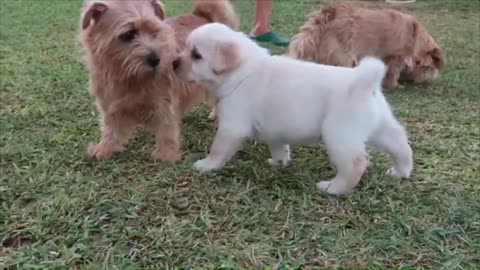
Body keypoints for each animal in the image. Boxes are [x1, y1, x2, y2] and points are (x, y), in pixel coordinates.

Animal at [78, 0, 240, 160]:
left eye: (154, 33)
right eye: (129, 34)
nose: (157, 59)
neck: (130, 76)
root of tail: (205, 18)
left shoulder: (164, 102)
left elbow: (166, 130)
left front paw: (166, 156)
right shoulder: (110, 103)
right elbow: (110, 127)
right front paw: (105, 148)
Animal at [174, 22, 414, 194]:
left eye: (196, 55)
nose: (174, 63)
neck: (241, 70)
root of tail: (365, 81)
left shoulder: (232, 126)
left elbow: (218, 148)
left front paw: (207, 165)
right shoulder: (275, 130)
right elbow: (279, 147)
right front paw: (279, 163)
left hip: (339, 135)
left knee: (355, 164)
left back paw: (332, 188)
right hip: (380, 129)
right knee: (400, 144)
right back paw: (400, 172)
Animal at [286, 3, 444, 88]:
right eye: (428, 68)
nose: (423, 82)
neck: (414, 34)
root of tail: (331, 12)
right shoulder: (396, 56)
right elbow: (394, 72)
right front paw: (395, 85)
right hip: (344, 54)